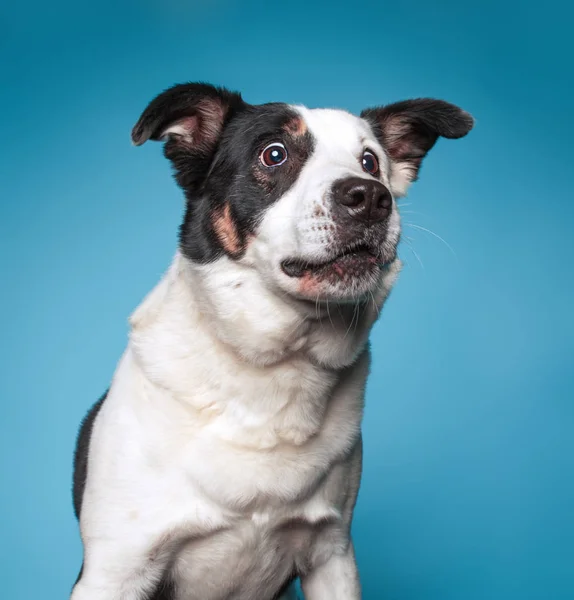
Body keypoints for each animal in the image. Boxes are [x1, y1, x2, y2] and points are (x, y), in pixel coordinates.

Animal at [71, 81, 476, 600]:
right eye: (275, 154)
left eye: (370, 161)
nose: (370, 197)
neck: (274, 365)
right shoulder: (116, 569)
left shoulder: (332, 555)